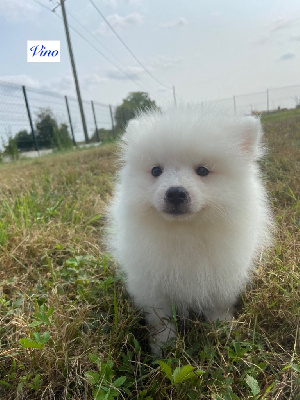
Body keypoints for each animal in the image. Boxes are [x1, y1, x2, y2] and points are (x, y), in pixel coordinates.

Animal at [107, 104, 272, 354]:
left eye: (202, 170)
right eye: (156, 171)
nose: (175, 193)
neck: (185, 232)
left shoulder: (221, 275)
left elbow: (218, 306)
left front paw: (221, 331)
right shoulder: (153, 285)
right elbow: (161, 319)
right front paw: (164, 347)